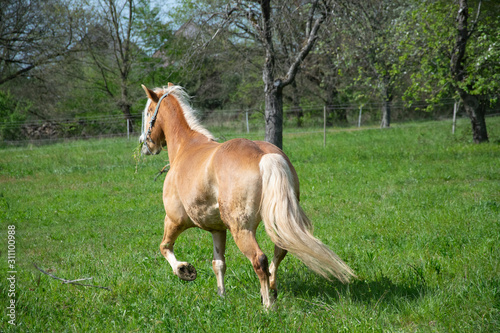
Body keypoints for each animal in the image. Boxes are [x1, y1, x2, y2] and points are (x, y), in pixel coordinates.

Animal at [138, 83, 356, 306]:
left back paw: (268, 304)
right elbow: (218, 263)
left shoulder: (174, 220)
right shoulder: (218, 229)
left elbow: (164, 246)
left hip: (241, 229)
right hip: (276, 220)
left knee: (259, 259)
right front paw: (221, 295)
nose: (145, 144)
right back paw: (272, 288)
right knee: (280, 250)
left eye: (147, 112)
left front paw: (184, 270)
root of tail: (265, 156)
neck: (186, 147)